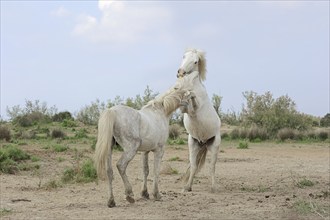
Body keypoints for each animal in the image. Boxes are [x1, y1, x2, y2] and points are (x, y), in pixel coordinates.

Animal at [93, 75, 196, 207]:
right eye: (190, 97)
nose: (193, 111)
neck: (160, 111)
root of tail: (112, 111)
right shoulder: (159, 150)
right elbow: (156, 171)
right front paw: (156, 194)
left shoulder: (145, 152)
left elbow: (145, 171)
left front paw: (145, 193)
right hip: (131, 149)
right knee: (120, 166)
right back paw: (129, 195)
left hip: (109, 150)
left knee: (109, 172)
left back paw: (111, 201)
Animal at [177, 48, 220, 192]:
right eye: (183, 56)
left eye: (195, 61)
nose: (180, 72)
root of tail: (204, 142)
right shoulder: (184, 110)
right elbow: (183, 104)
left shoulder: (196, 108)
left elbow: (193, 97)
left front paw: (190, 93)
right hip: (193, 144)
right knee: (194, 165)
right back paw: (187, 187)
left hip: (214, 146)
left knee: (212, 166)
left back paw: (213, 188)